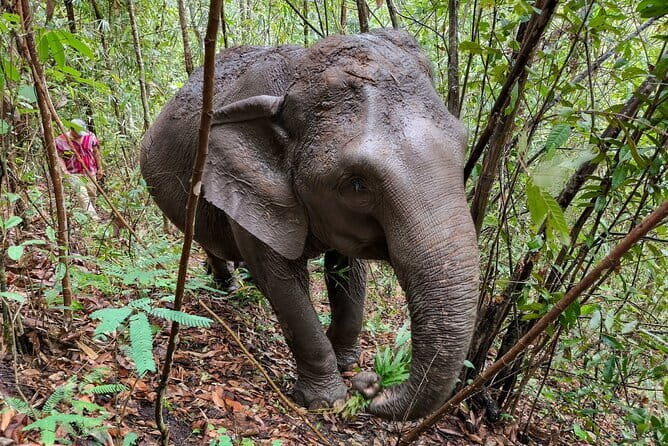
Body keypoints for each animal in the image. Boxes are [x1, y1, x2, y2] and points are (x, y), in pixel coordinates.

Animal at [140, 28, 479, 421]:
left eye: (463, 143)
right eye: (357, 184)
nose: (372, 386)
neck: (292, 83)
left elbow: (349, 271)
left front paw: (347, 364)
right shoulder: (248, 189)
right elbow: (283, 283)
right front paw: (325, 401)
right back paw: (228, 286)